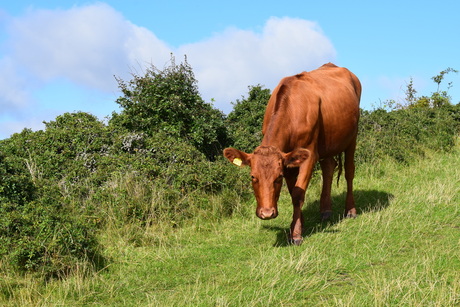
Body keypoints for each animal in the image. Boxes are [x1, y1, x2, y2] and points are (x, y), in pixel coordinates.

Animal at [225, 62, 362, 245]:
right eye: (253, 177)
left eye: (278, 178)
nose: (267, 213)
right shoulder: (288, 161)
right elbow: (293, 192)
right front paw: (298, 223)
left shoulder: (309, 154)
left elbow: (298, 194)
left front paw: (296, 233)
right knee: (328, 167)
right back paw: (325, 210)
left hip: (352, 136)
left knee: (349, 171)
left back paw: (350, 210)